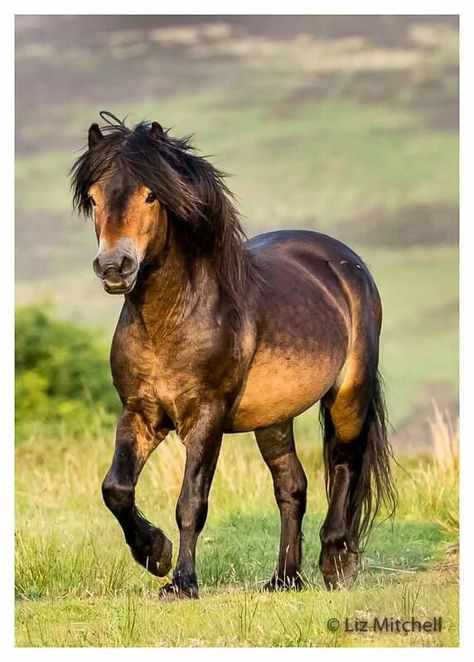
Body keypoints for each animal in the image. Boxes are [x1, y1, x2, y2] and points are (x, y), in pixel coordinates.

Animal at [70, 111, 396, 600]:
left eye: (152, 194)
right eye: (93, 198)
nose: (114, 266)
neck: (172, 320)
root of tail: (343, 261)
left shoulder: (206, 416)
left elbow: (191, 502)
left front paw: (182, 583)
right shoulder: (140, 413)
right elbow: (116, 488)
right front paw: (154, 553)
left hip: (348, 395)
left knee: (345, 464)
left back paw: (336, 563)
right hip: (274, 418)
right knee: (292, 486)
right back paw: (284, 579)